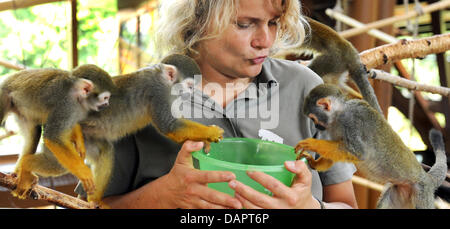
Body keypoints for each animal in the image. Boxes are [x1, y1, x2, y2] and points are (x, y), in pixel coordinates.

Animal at [296, 84, 446, 209]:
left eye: (313, 118)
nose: (316, 126)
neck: (339, 114)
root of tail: (426, 177)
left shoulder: (352, 121)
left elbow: (358, 152)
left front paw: (312, 144)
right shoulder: (332, 128)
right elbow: (334, 156)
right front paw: (314, 163)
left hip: (422, 193)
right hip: (401, 191)